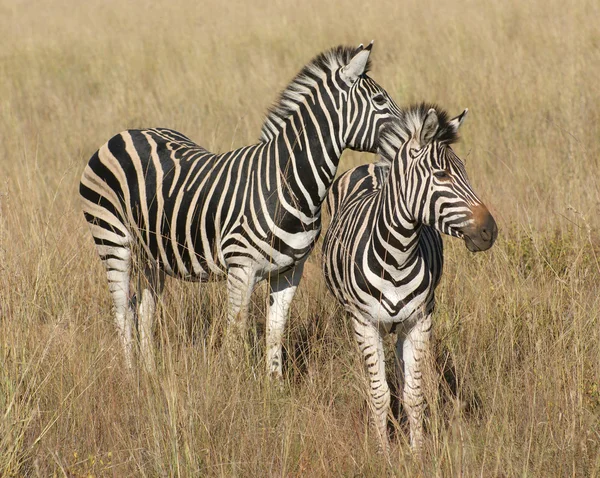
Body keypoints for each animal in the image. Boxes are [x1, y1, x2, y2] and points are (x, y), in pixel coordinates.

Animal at [77, 43, 400, 376]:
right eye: (379, 100)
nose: (411, 136)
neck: (287, 184)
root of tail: (123, 133)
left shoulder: (290, 271)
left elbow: (275, 331)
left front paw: (274, 384)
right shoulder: (241, 268)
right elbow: (235, 331)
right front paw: (234, 383)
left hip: (152, 253)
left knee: (144, 309)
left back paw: (152, 374)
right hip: (112, 239)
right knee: (122, 310)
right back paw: (132, 376)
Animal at [324, 104, 496, 452]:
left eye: (465, 169)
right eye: (442, 175)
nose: (490, 231)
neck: (397, 255)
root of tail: (372, 166)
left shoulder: (420, 320)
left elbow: (414, 394)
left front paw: (417, 452)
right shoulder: (365, 322)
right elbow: (379, 394)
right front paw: (383, 452)